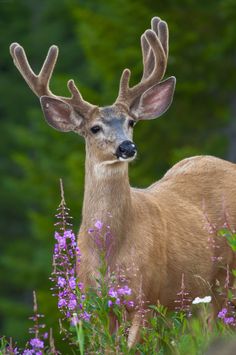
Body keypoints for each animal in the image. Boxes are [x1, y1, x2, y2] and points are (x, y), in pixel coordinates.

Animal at [10, 16, 236, 348]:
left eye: (131, 121)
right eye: (94, 128)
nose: (127, 147)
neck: (109, 250)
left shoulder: (144, 294)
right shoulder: (95, 303)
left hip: (226, 275)